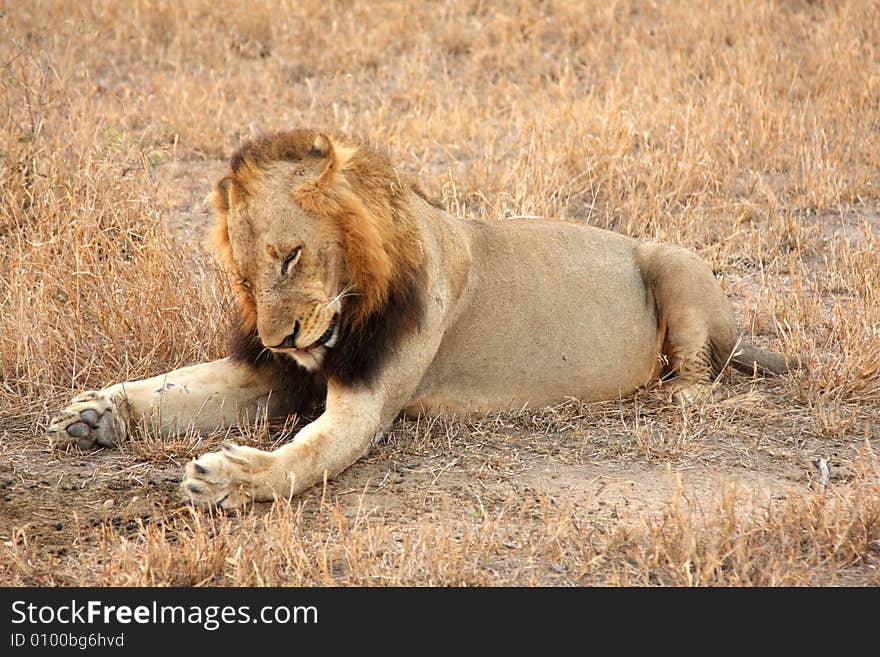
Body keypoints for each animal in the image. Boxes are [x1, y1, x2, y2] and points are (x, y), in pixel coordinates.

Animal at [44, 128, 796, 508]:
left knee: (702, 371)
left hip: (672, 258)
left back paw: (675, 394)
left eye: (290, 257)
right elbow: (179, 385)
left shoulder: (368, 403)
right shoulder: (276, 375)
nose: (278, 338)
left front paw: (229, 479)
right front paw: (97, 412)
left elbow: (304, 456)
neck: (352, 306)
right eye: (245, 278)